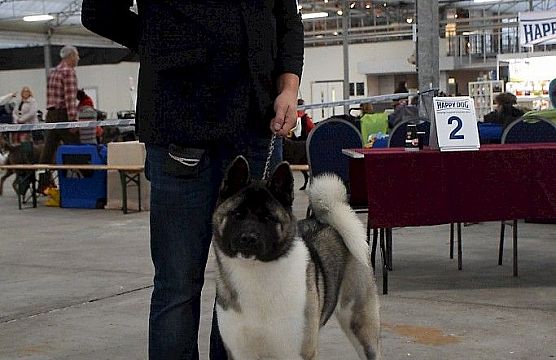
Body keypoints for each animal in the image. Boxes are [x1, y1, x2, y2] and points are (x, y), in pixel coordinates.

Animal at [211, 156, 380, 358]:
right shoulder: (240, 353)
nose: (249, 238)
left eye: (268, 218)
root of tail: (330, 222)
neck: (255, 270)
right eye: (237, 214)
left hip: (360, 323)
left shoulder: (297, 352)